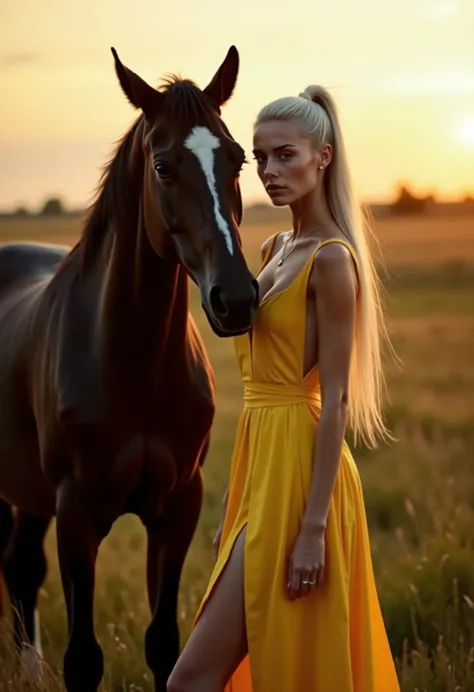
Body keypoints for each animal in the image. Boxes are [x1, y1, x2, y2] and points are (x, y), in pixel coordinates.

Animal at [0, 46, 258, 688]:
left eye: (237, 158)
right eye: (163, 166)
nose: (237, 299)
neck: (133, 362)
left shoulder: (178, 507)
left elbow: (164, 644)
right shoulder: (76, 512)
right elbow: (83, 658)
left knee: (18, 566)